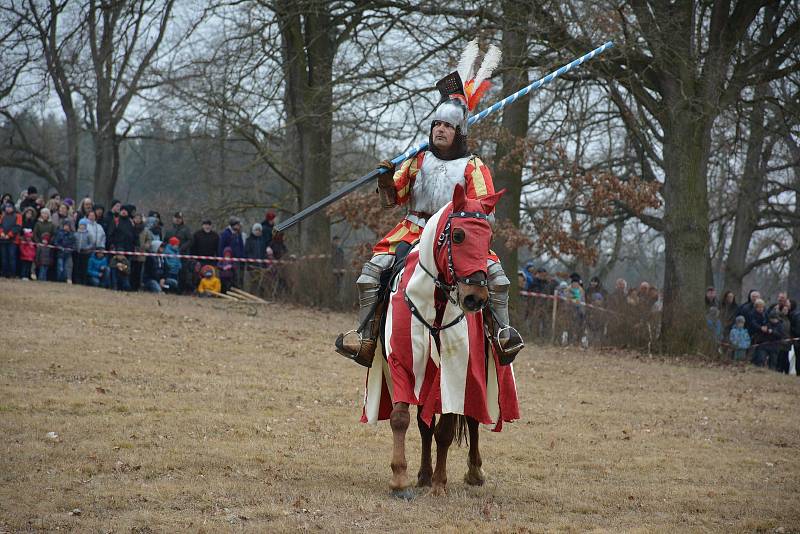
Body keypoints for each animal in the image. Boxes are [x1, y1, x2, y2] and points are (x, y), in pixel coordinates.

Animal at [360, 183, 520, 498]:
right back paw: (423, 474)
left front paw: (439, 484)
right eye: (458, 235)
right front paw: (400, 479)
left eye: (488, 237)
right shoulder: (403, 362)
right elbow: (401, 418)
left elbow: (446, 429)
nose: (475, 298)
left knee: (472, 418)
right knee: (425, 424)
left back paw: (473, 472)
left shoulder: (458, 370)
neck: (434, 301)